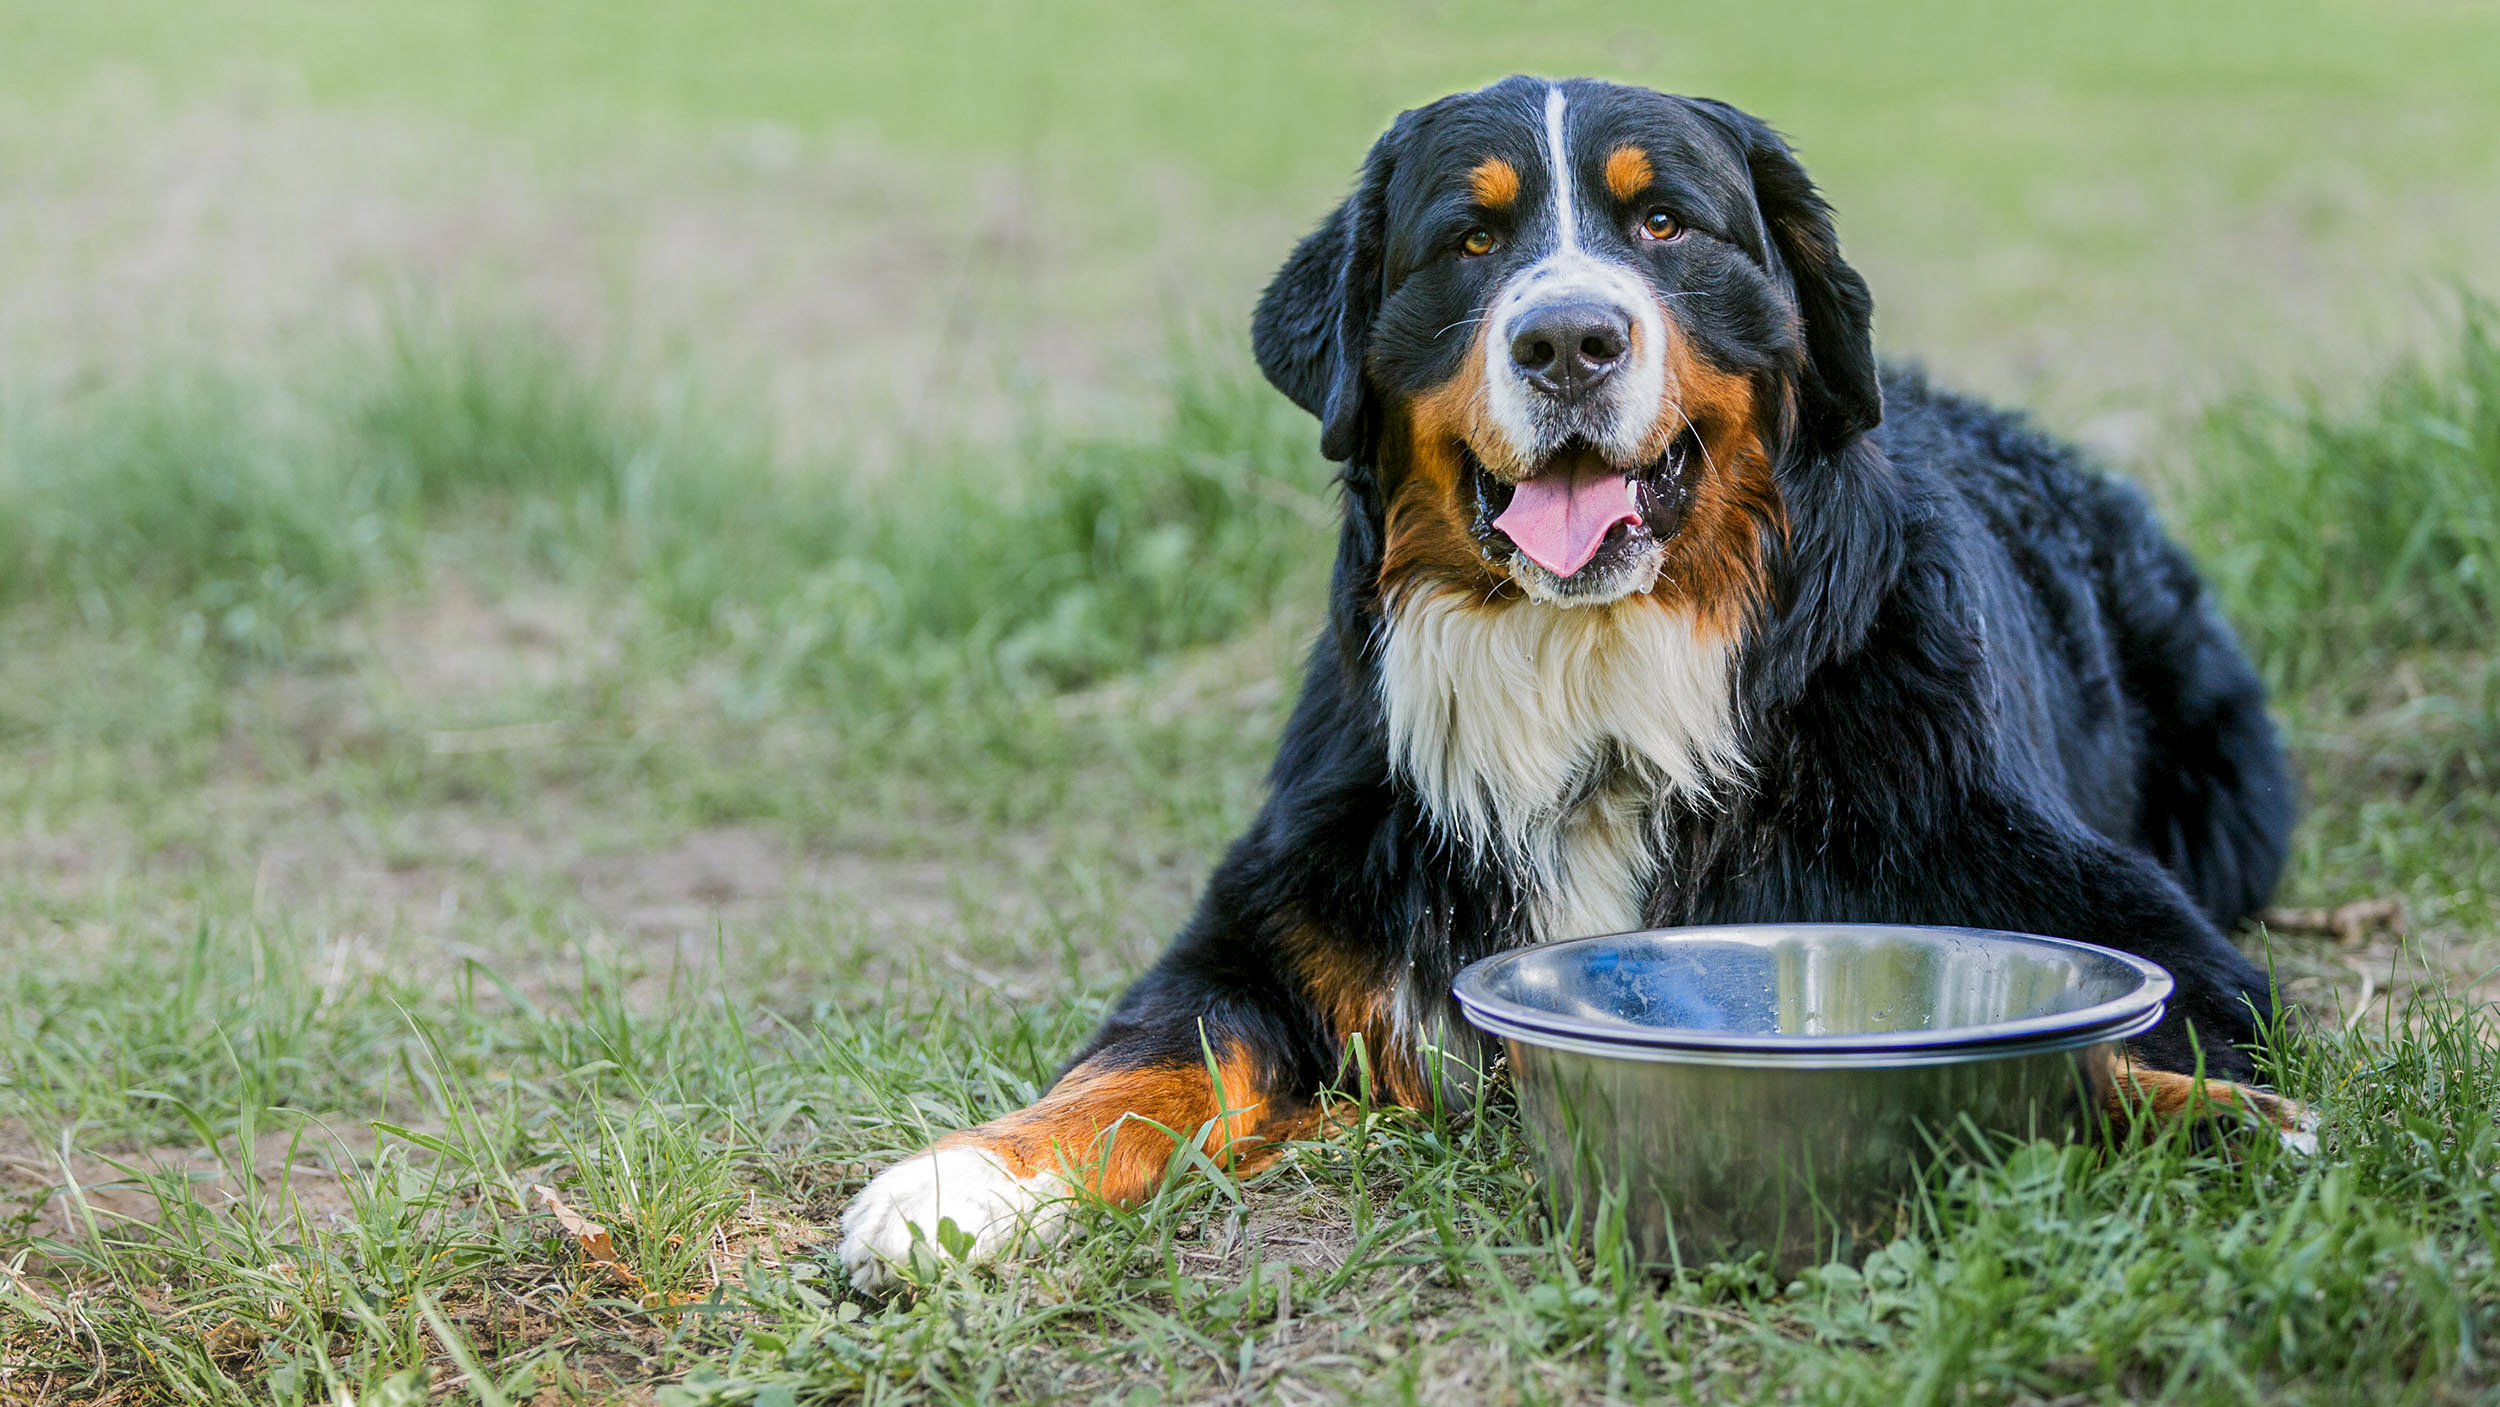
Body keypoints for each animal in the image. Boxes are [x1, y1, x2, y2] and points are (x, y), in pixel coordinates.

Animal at [840, 74, 2300, 1289]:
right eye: (1470, 243)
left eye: (1663, 224)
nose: (1568, 341)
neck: (1596, 687)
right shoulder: (1269, 925)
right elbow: (1147, 1061)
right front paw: (958, 1180)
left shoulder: (2127, 931)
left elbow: (2105, 1051)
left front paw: (2227, 1122)